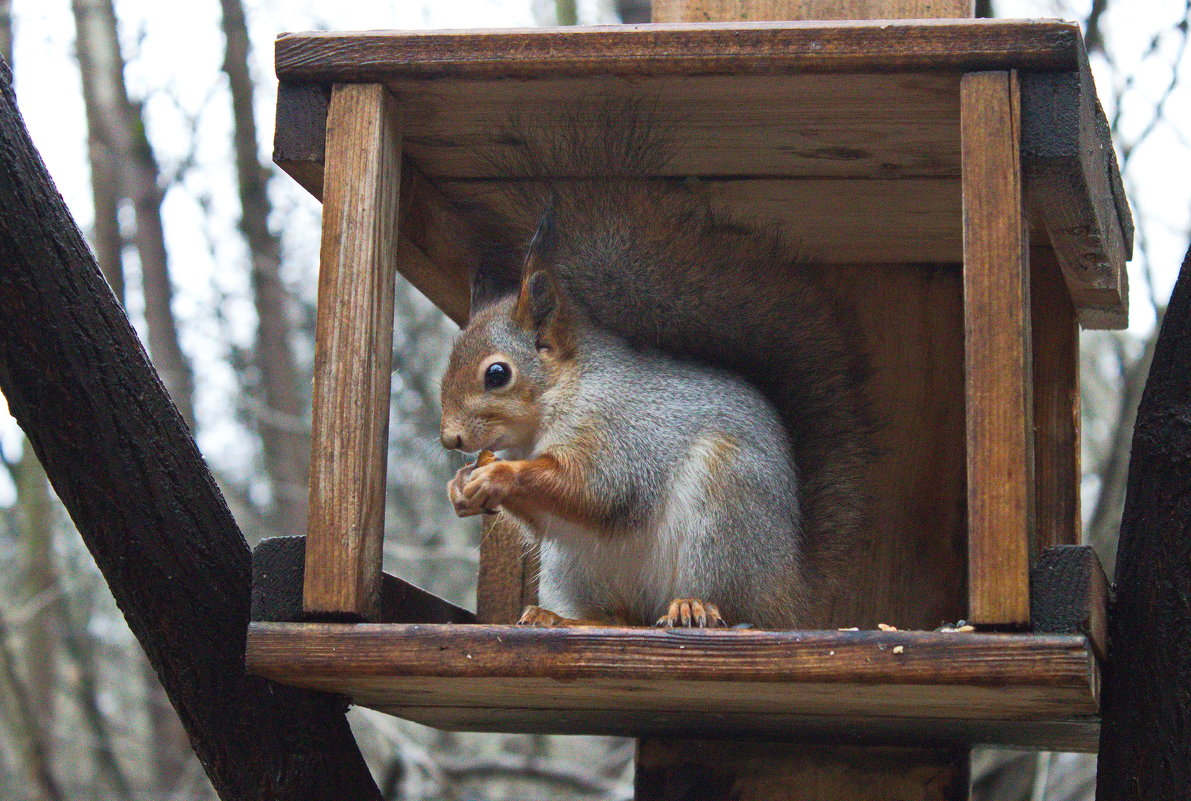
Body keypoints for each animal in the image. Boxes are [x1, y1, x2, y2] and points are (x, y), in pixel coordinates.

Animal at [433, 107, 871, 633]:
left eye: (496, 374)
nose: (451, 438)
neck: (561, 396)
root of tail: (788, 594)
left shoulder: (618, 432)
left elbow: (595, 488)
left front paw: (498, 475)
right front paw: (461, 488)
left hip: (723, 512)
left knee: (726, 606)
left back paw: (693, 606)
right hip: (575, 564)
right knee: (620, 619)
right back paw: (559, 618)